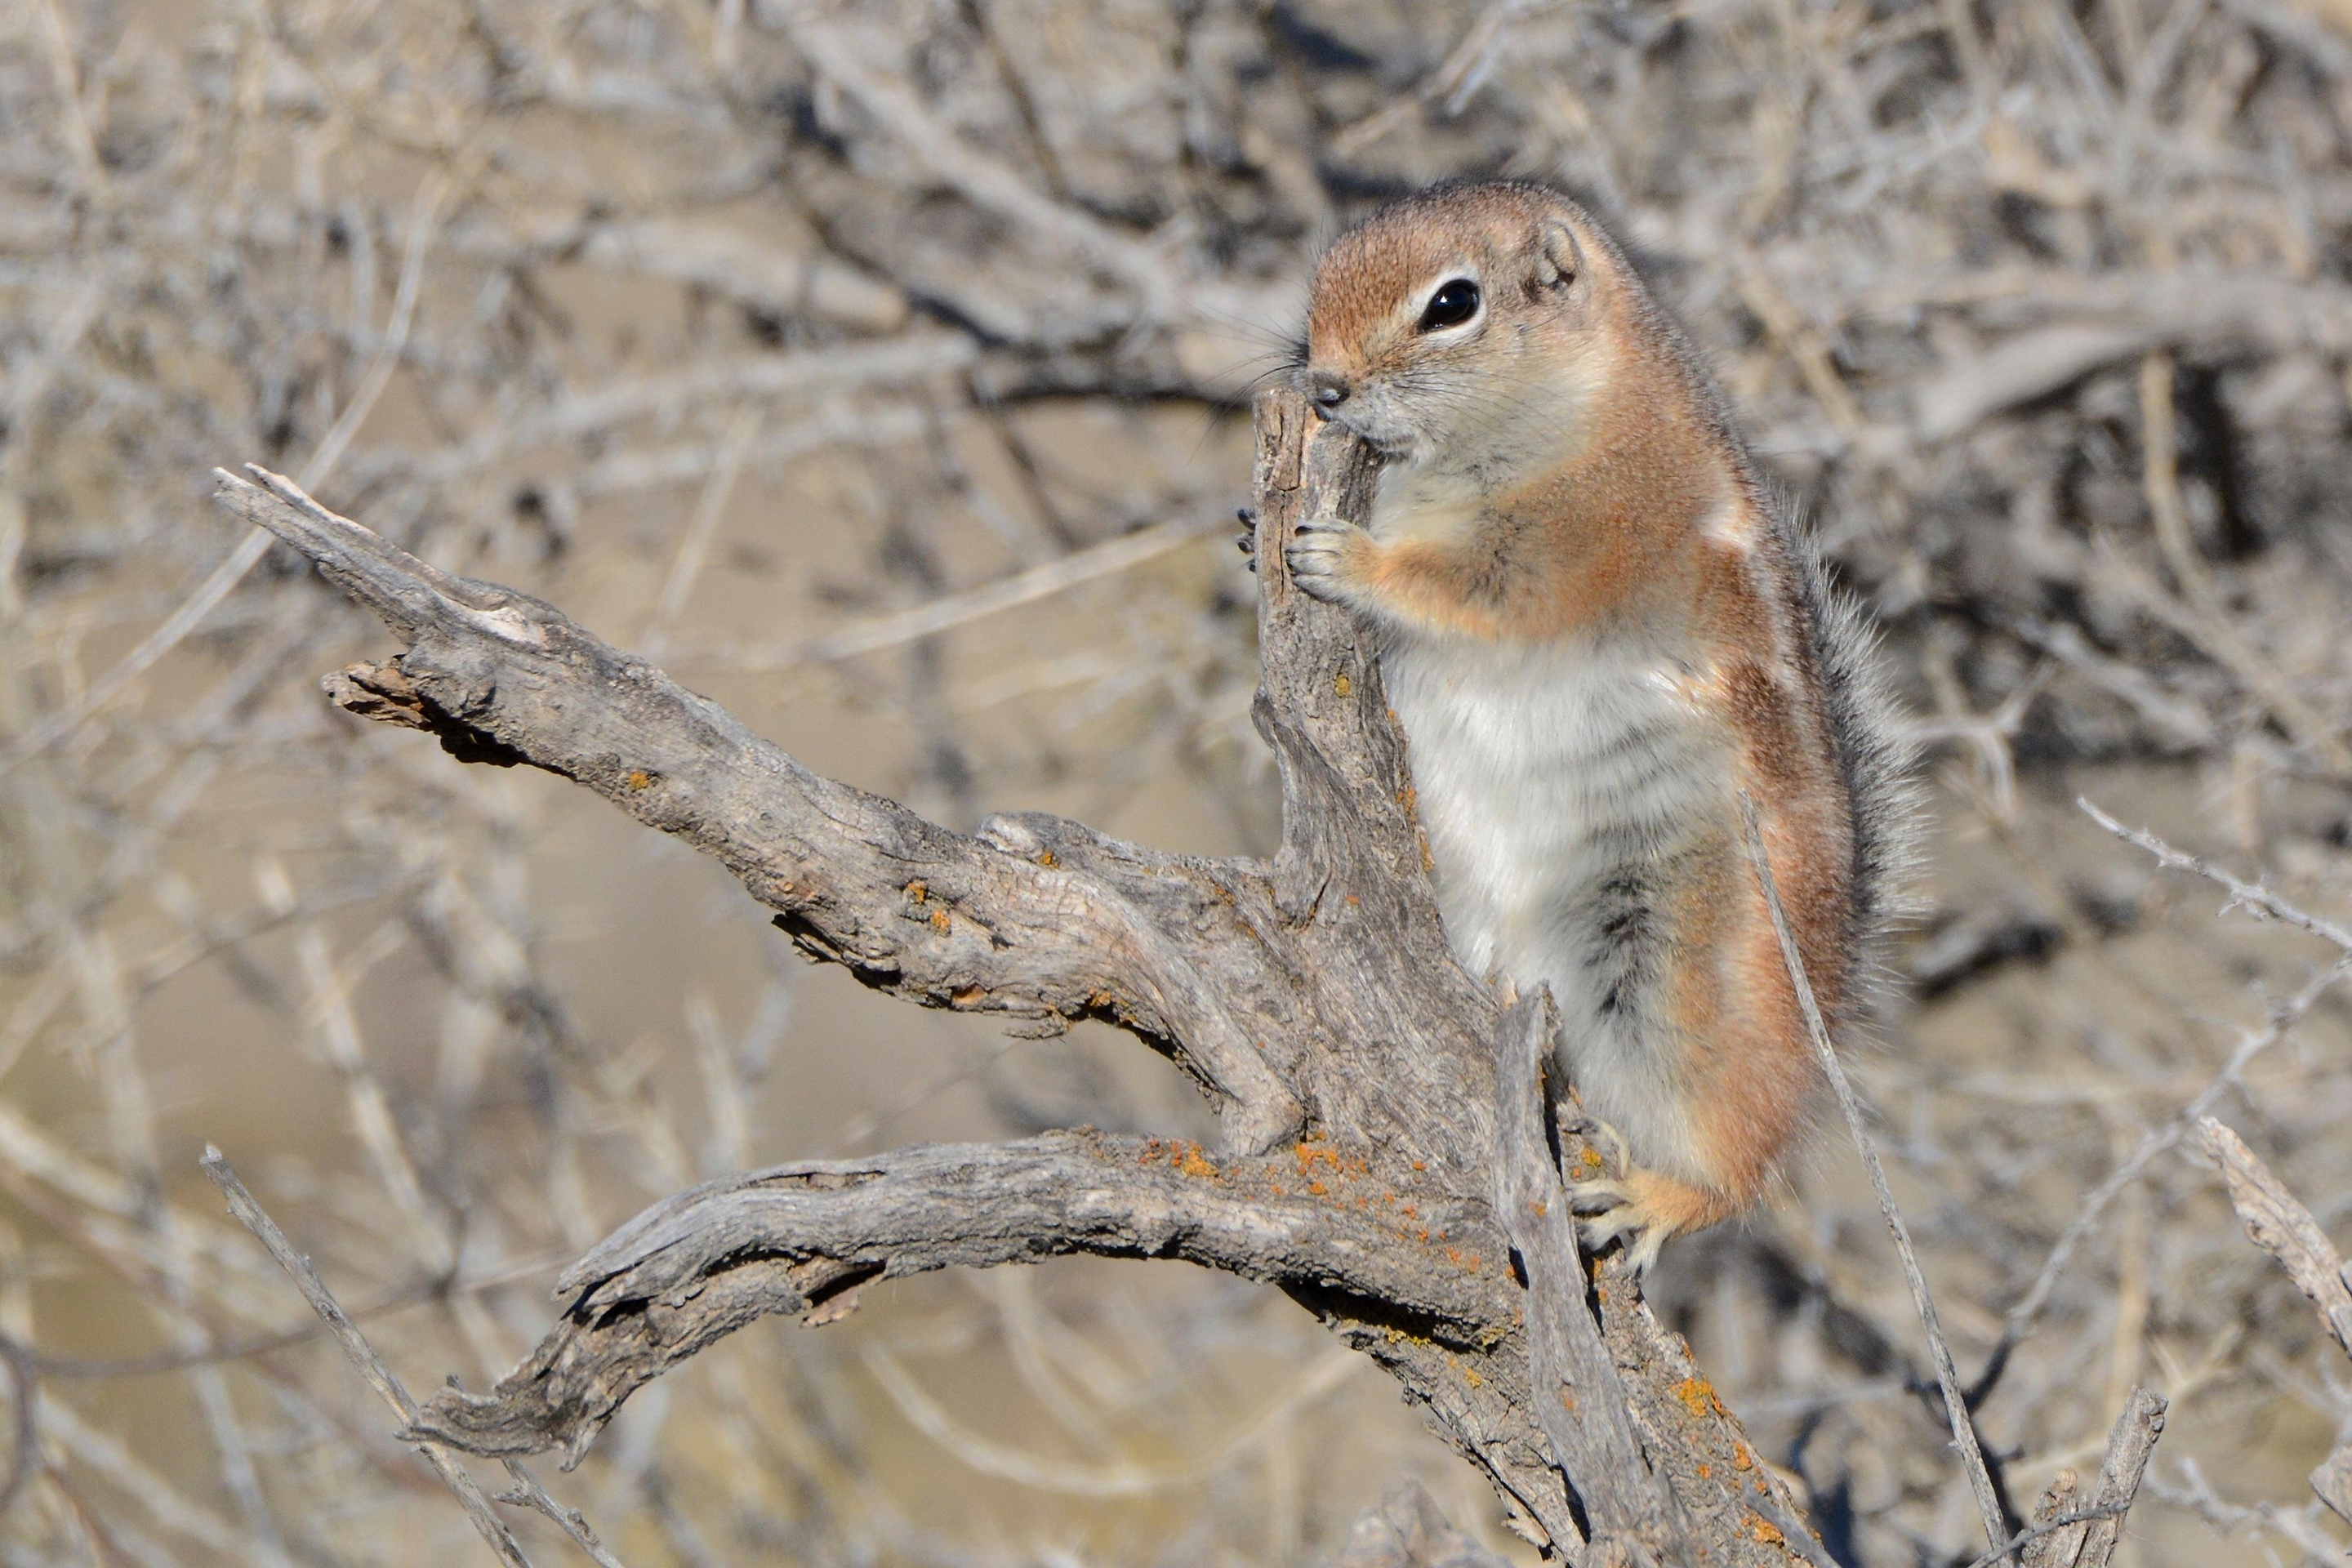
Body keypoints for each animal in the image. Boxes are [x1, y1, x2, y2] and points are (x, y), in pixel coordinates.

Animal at [1270, 177, 1909, 1269]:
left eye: (1452, 304)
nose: (1325, 388)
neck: (1581, 406)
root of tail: (1830, 996)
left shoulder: (1577, 546)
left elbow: (1467, 591)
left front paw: (1351, 560)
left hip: (1677, 978)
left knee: (1741, 1158)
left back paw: (1660, 1197)